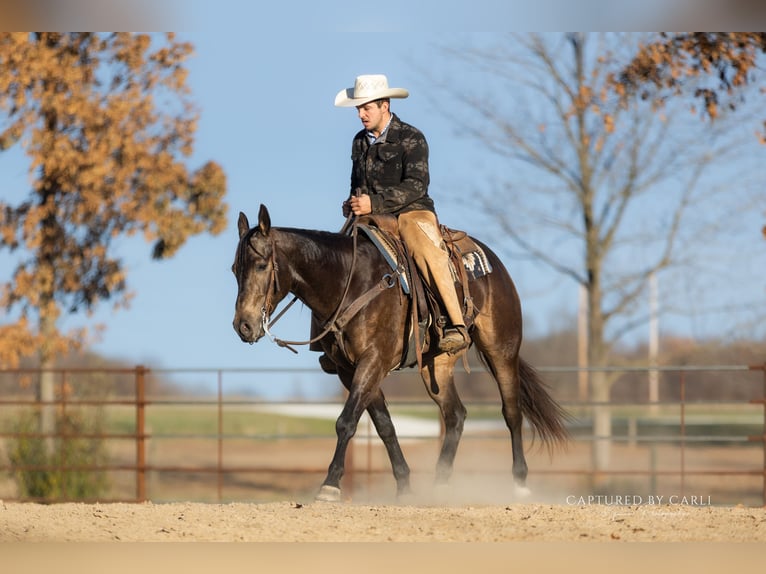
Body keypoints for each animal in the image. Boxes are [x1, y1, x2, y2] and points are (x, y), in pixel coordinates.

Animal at [232, 204, 569, 502]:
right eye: (235, 269)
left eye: (261, 265)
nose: (243, 325)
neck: (350, 282)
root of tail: (493, 263)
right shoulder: (349, 369)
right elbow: (384, 425)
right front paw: (404, 486)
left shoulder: (373, 360)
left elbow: (346, 421)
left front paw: (329, 485)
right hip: (436, 366)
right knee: (455, 415)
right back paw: (440, 486)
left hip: (502, 349)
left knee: (511, 412)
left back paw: (520, 484)